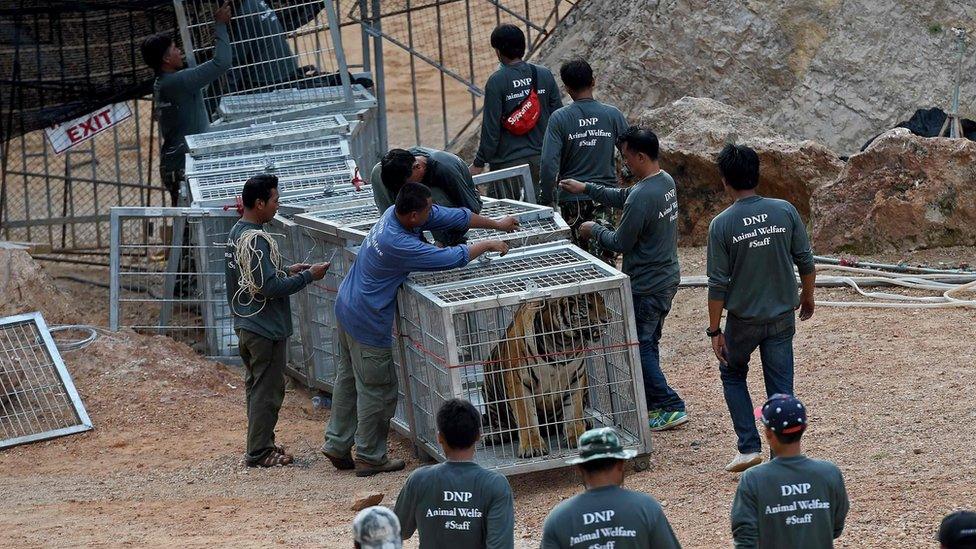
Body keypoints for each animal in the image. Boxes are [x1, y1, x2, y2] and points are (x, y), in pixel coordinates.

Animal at [482, 292, 608, 458]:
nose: (607, 319)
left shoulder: (576, 377)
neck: (563, 342)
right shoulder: (519, 382)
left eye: (602, 301)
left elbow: (574, 411)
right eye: (587, 305)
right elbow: (527, 417)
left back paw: (586, 422)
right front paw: (532, 447)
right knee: (502, 423)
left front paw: (577, 436)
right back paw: (494, 436)